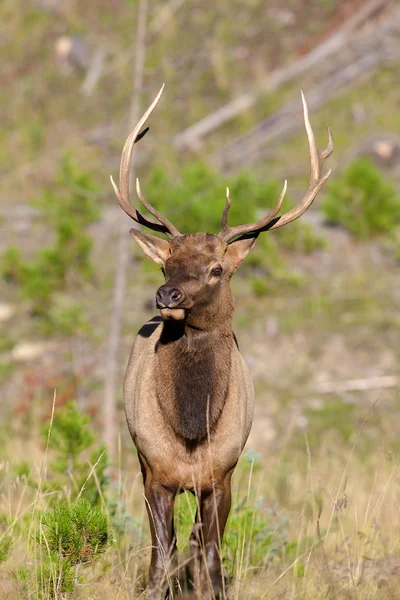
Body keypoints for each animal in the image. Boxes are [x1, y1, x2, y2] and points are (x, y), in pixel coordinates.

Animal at [111, 83, 332, 596]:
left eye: (216, 269)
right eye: (165, 264)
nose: (166, 295)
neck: (193, 430)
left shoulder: (223, 475)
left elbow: (210, 557)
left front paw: (211, 587)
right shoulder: (155, 472)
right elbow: (160, 558)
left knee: (197, 544)